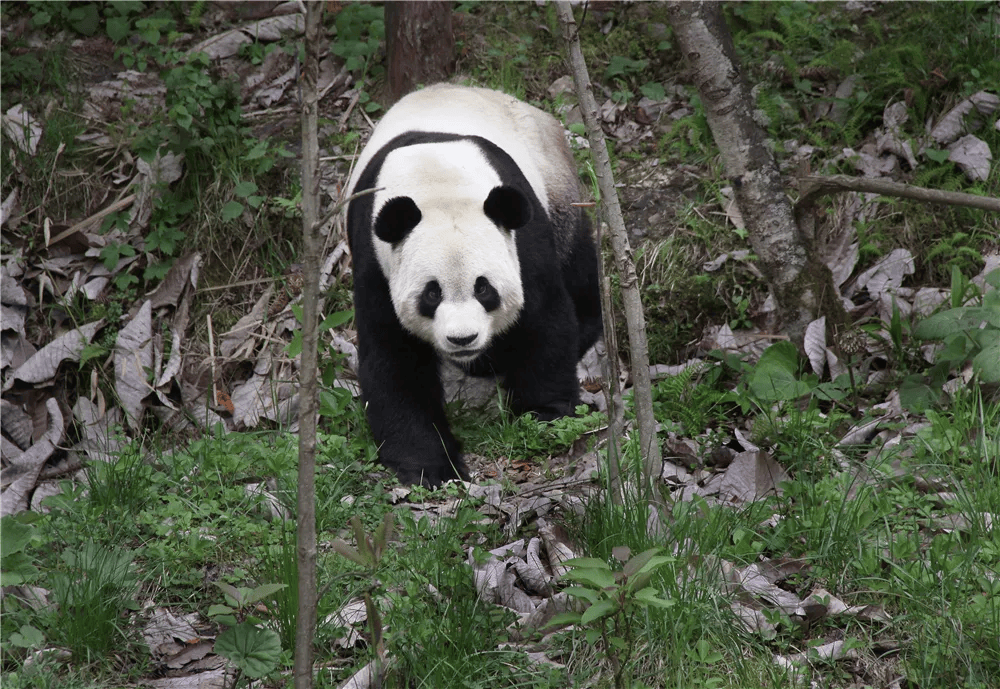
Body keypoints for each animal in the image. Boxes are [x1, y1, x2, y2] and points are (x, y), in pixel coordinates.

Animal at [348, 83, 596, 486]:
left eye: (484, 288)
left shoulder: (519, 238)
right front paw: (430, 467)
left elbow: (544, 318)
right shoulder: (376, 261)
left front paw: (545, 413)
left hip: (555, 181)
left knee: (577, 259)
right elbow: (392, 358)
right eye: (431, 294)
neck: (436, 182)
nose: (462, 340)